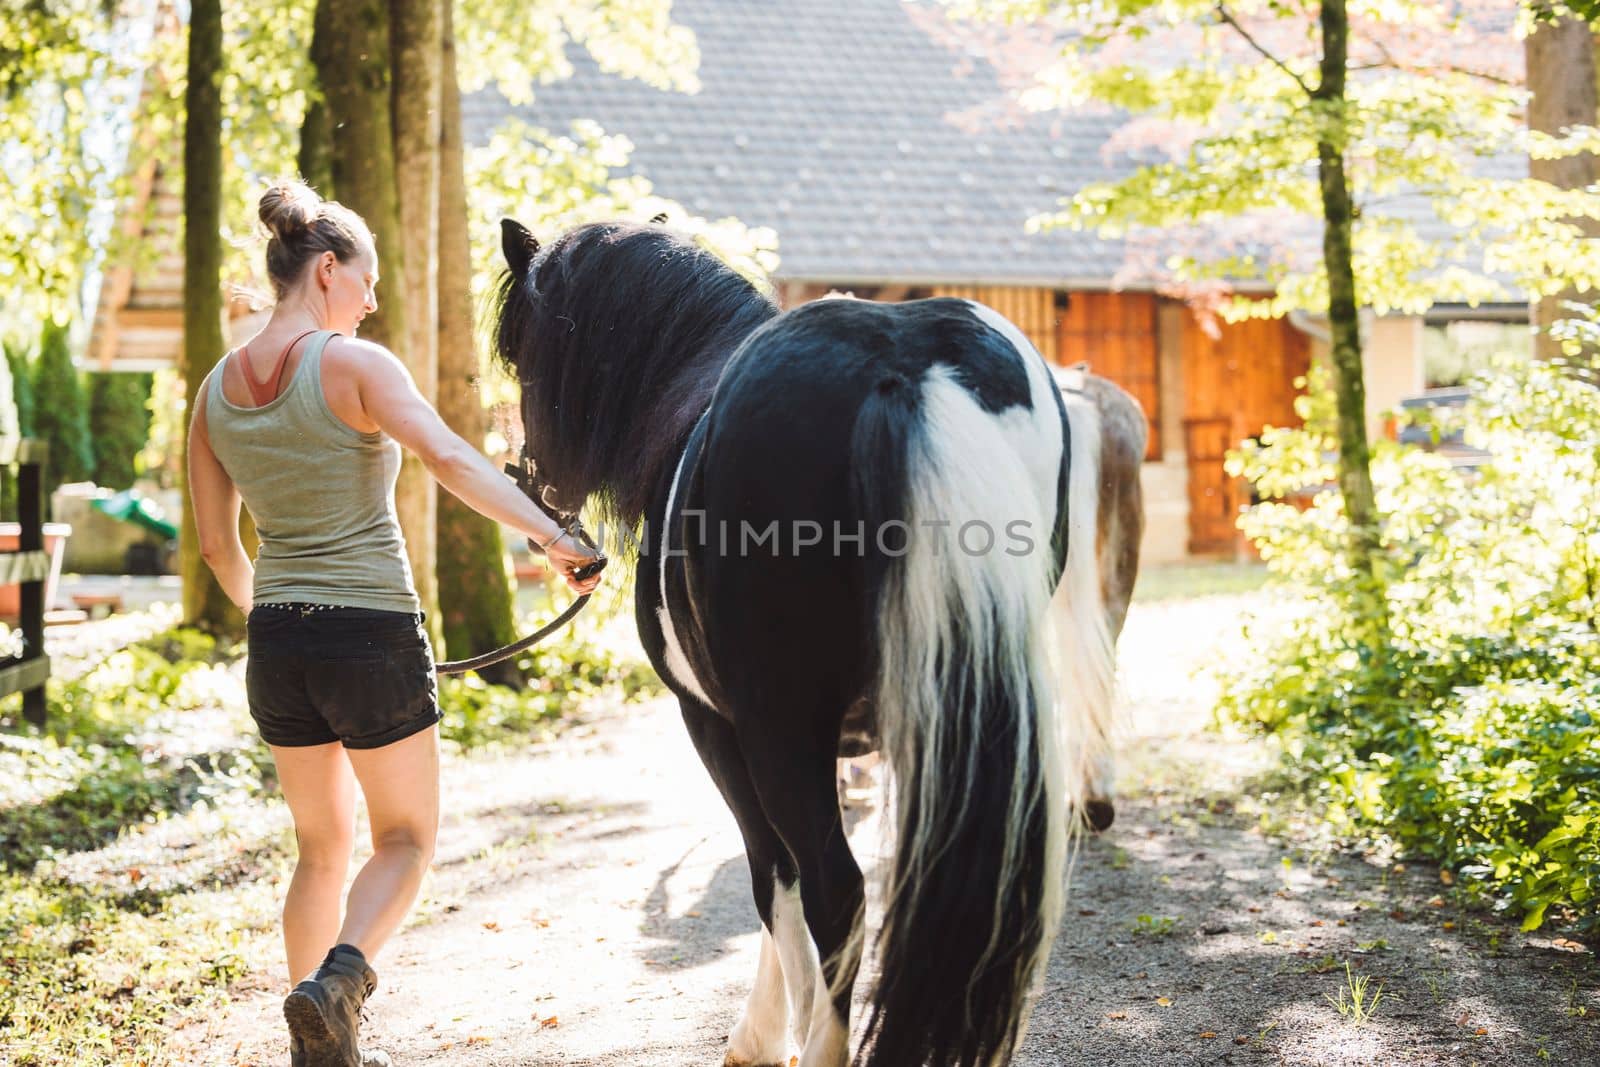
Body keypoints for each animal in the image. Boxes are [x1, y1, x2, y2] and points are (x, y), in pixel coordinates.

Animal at [496, 219, 1126, 1067]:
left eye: (519, 352)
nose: (531, 486)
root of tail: (903, 372)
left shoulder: (721, 724)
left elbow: (775, 876)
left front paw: (764, 1034)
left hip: (779, 729)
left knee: (836, 888)